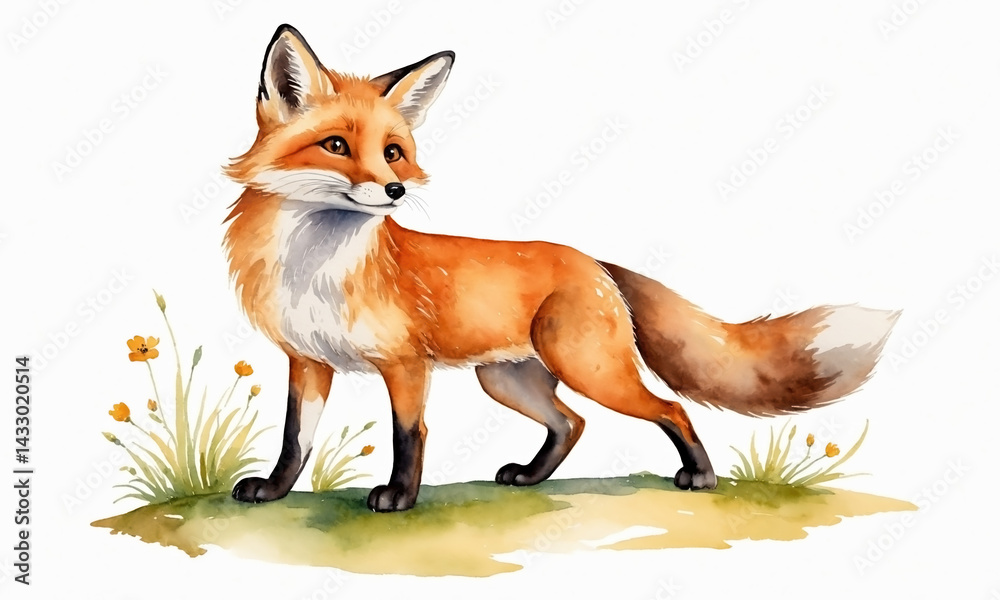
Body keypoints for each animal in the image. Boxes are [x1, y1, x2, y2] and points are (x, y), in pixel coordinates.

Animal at [224, 24, 899, 512]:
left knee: (670, 408)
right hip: (509, 380)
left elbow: (408, 437)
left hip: (588, 370)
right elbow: (295, 438)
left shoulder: (406, 366)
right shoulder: (307, 360)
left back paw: (700, 476)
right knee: (572, 422)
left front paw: (399, 497)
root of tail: (592, 260)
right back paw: (531, 476)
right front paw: (273, 491)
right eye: (336, 145)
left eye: (393, 152)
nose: (393, 190)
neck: (317, 269)